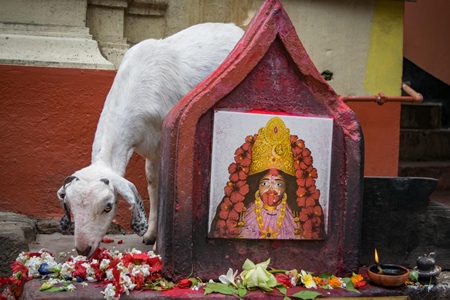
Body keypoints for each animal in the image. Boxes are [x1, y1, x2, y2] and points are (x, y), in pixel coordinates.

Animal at [57, 22, 244, 258]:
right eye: (69, 204)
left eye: (108, 205)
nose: (83, 249)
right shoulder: (150, 148)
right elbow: (153, 182)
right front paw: (151, 234)